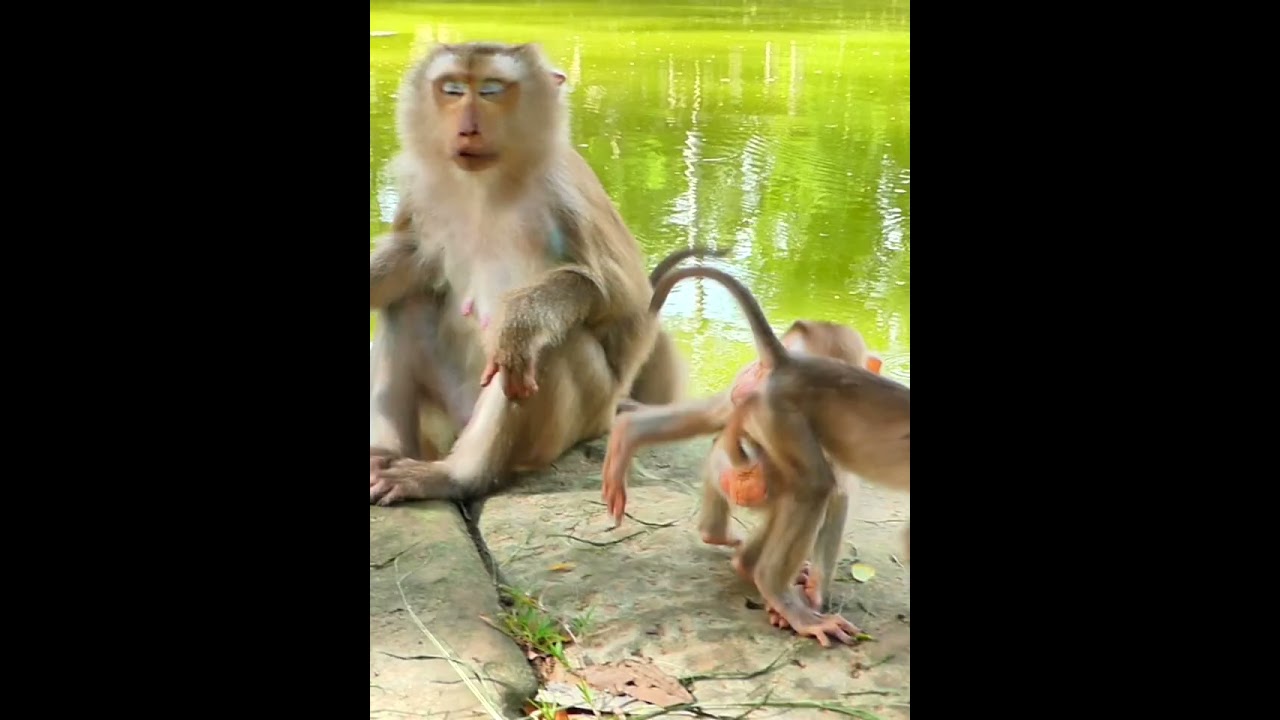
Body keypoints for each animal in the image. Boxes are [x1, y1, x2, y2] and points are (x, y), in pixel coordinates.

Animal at [368, 42, 708, 508]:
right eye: (452, 90)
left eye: (491, 90)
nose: (467, 129)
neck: (488, 185)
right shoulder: (421, 193)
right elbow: (413, 259)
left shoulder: (566, 191)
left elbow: (627, 303)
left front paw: (518, 325)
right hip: (449, 415)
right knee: (409, 304)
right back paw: (385, 456)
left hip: (588, 414)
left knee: (547, 346)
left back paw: (458, 476)